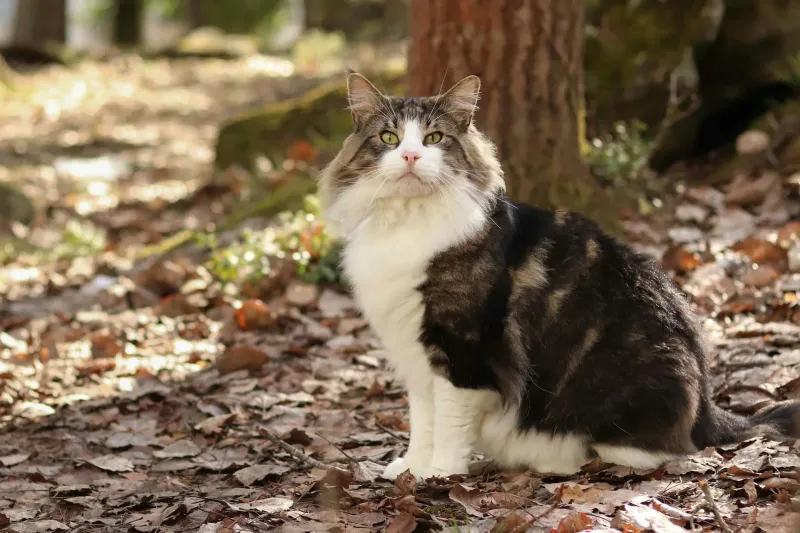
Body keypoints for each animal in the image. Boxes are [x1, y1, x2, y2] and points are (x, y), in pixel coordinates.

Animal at [318, 70, 800, 478]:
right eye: (389, 137)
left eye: (435, 138)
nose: (412, 155)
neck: (406, 223)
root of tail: (709, 407)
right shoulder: (415, 352)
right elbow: (422, 420)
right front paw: (411, 468)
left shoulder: (463, 350)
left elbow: (449, 424)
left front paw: (438, 474)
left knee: (665, 451)